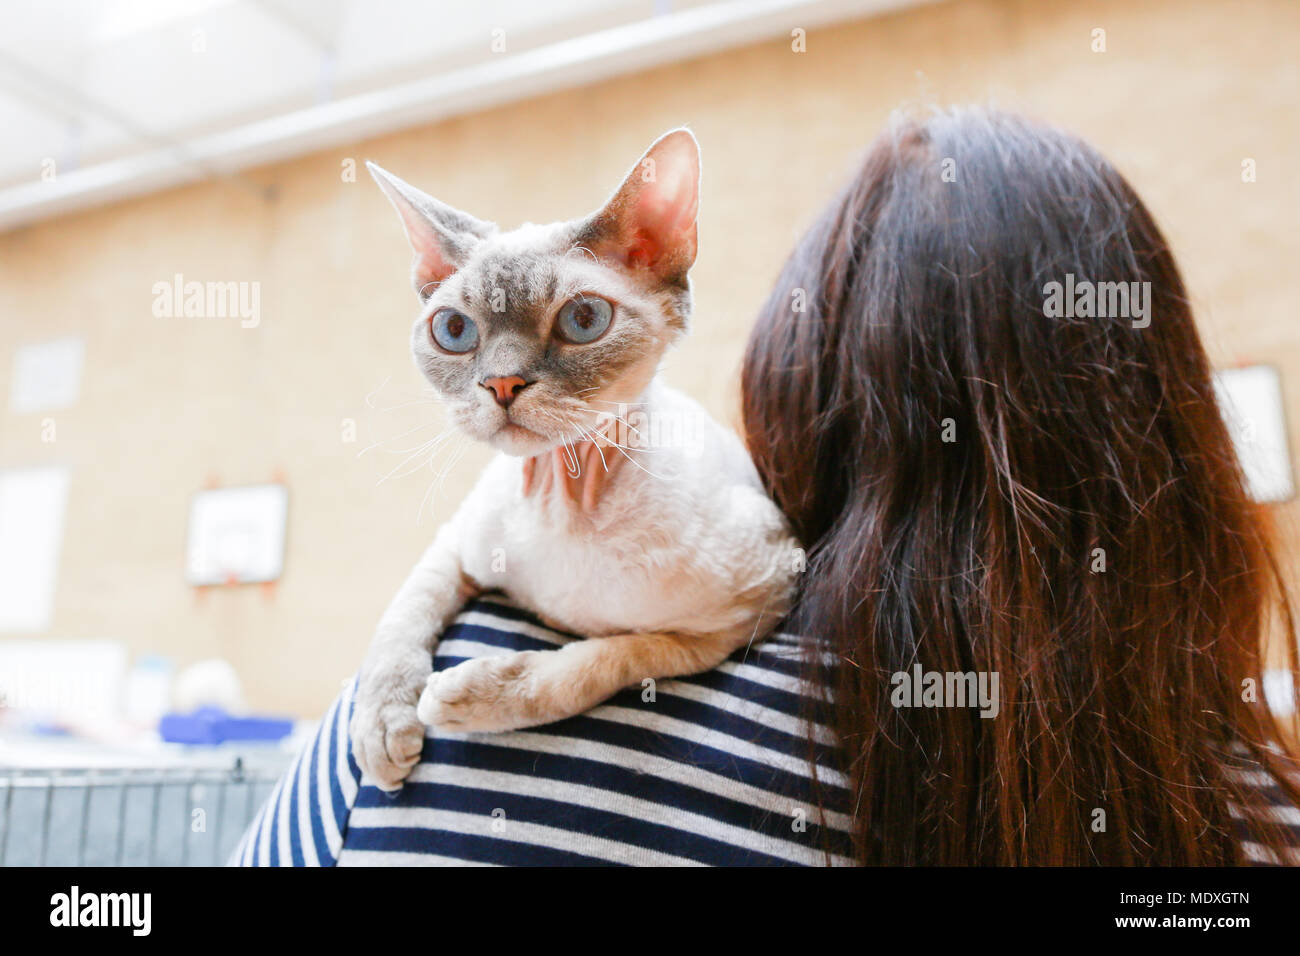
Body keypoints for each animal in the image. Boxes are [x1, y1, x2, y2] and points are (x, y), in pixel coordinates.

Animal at [356, 130, 800, 790]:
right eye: (454, 330)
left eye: (583, 319)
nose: (502, 384)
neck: (561, 505)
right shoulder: (455, 544)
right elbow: (401, 617)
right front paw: (383, 727)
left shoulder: (742, 616)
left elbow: (600, 660)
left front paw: (479, 696)